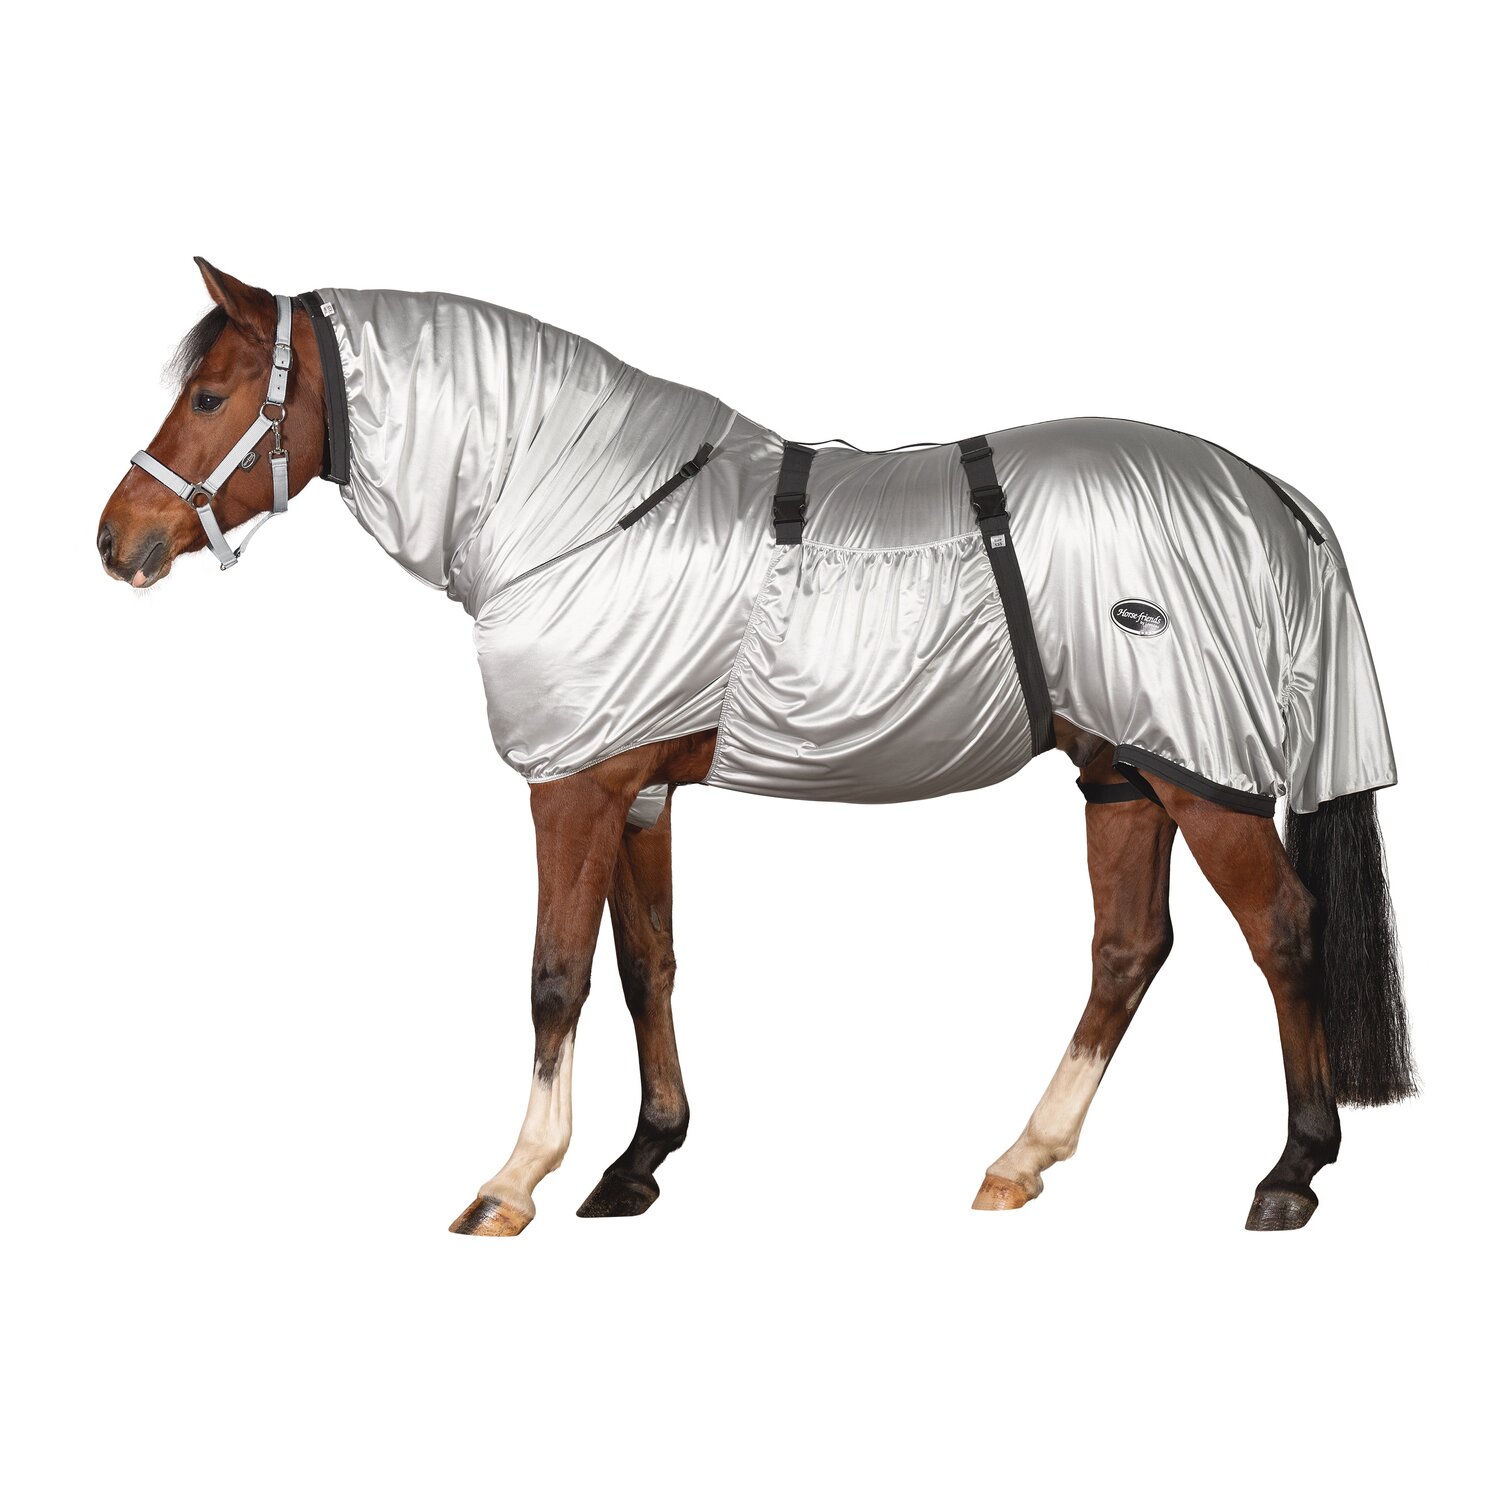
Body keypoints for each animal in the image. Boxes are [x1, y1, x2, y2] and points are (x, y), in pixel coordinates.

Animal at [97, 258, 1415, 1235]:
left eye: (209, 398)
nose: (117, 540)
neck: (583, 510)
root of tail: (1270, 493)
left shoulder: (572, 791)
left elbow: (555, 976)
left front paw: (514, 1179)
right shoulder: (636, 791)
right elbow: (647, 967)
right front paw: (638, 1163)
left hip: (1208, 787)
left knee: (1283, 931)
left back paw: (1291, 1172)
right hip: (1127, 776)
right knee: (1127, 951)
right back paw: (1023, 1158)